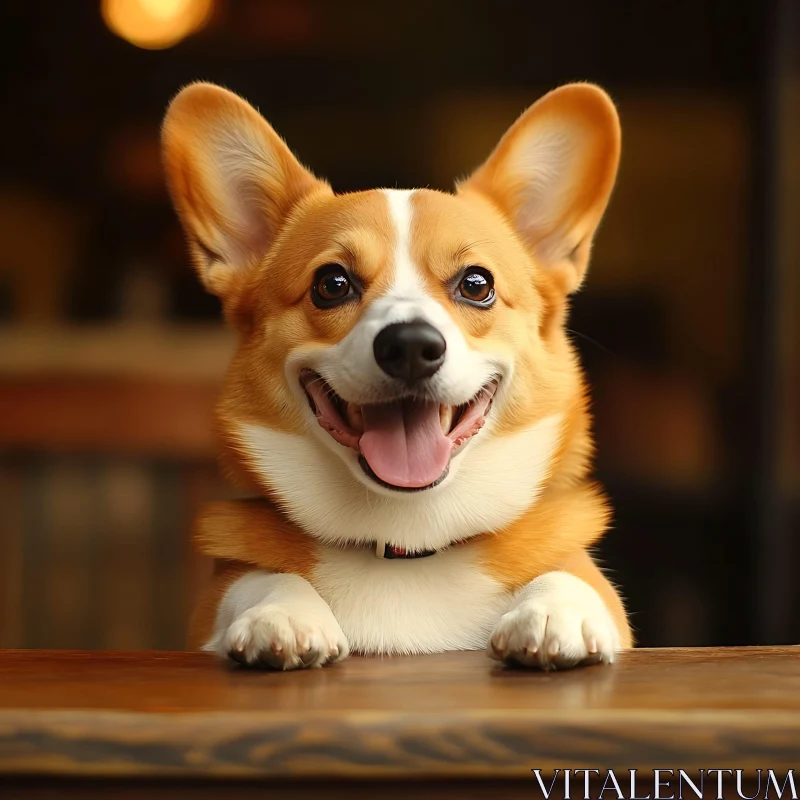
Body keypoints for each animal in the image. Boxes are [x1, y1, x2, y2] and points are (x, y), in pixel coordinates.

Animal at [161, 79, 632, 668]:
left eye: (476, 284)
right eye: (332, 284)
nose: (410, 346)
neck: (406, 538)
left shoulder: (589, 580)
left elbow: (571, 577)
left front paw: (555, 613)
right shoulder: (219, 598)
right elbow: (261, 578)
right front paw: (282, 614)